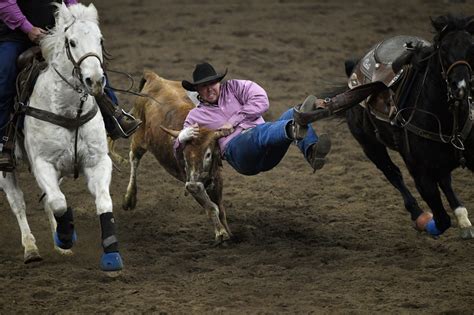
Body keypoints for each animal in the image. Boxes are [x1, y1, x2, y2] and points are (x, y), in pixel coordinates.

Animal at [0, 2, 124, 272]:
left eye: (100, 39)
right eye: (72, 42)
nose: (95, 80)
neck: (67, 110)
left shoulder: (98, 162)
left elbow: (103, 202)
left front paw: (111, 254)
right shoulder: (42, 164)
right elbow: (59, 202)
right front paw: (66, 236)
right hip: (4, 168)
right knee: (18, 202)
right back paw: (31, 249)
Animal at [344, 13, 474, 238]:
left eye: (472, 47)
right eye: (443, 49)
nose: (460, 87)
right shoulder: (419, 171)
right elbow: (442, 220)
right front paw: (427, 222)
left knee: (445, 180)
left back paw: (463, 218)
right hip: (370, 145)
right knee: (392, 172)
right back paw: (419, 213)